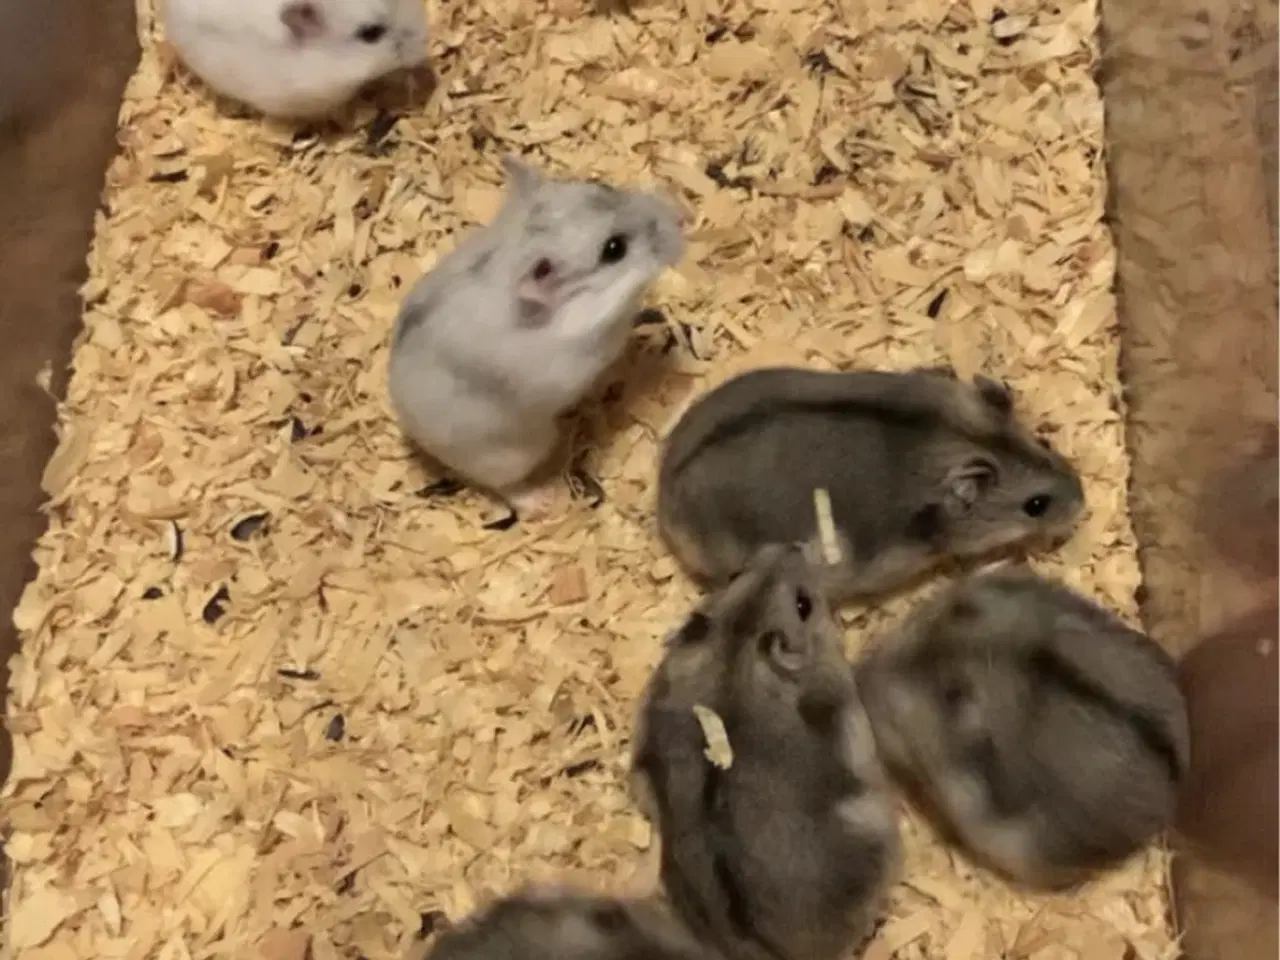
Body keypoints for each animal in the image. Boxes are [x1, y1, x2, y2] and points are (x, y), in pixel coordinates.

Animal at [388, 155, 685, 520]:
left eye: (602, 185)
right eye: (614, 249)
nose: (679, 217)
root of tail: (413, 433)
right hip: (513, 453)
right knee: (505, 487)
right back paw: (543, 502)